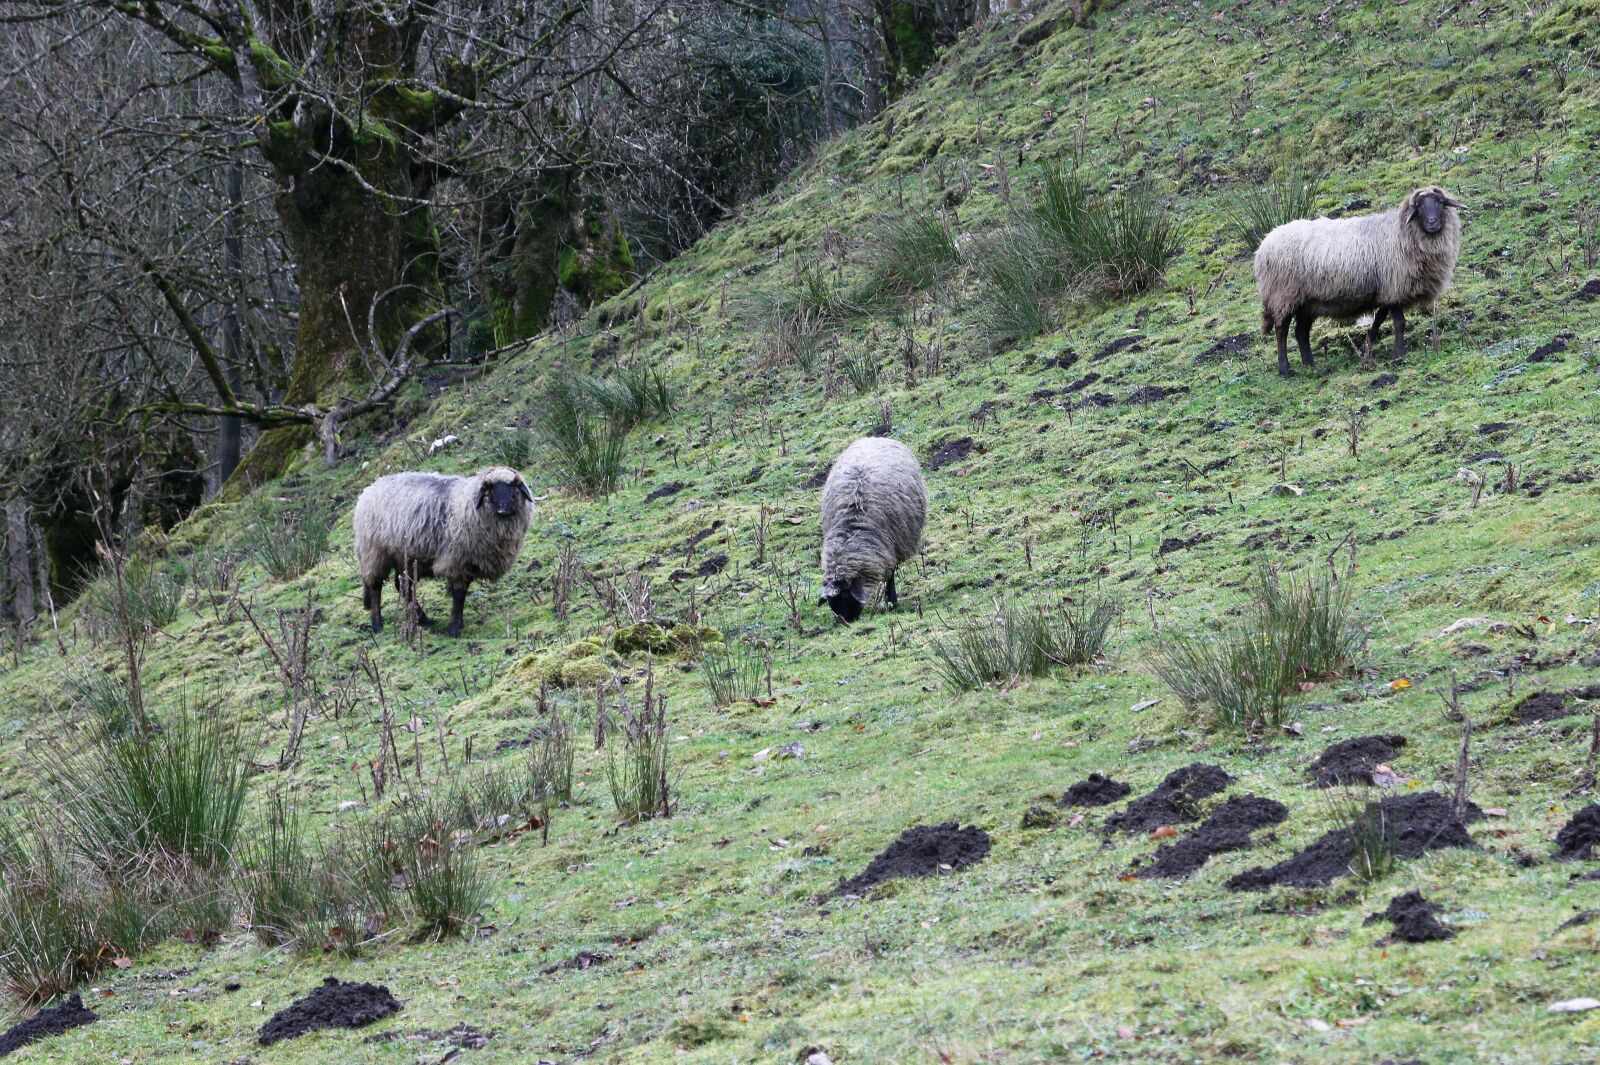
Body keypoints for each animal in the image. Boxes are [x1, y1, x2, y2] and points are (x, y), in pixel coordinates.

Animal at [354, 466, 533, 637]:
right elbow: (459, 593)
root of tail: (369, 489)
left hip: (405, 557)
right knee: (375, 586)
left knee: (403, 585)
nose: (504, 509)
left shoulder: (467, 563)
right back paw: (377, 624)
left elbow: (463, 591)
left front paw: (458, 623)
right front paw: (453, 628)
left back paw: (423, 620)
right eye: (490, 489)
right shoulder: (455, 561)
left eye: (514, 487)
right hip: (374, 552)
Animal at [819, 437, 927, 623]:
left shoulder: (890, 550)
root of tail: (875, 438)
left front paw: (891, 602)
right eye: (831, 601)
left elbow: (890, 577)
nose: (846, 622)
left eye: (846, 596)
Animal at [1255, 185, 1463, 376]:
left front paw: (1366, 346)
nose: (1432, 222)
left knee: (1301, 332)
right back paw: (1285, 369)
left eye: (1440, 202)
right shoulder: (1394, 286)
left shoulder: (1387, 290)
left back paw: (1311, 365)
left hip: (1307, 301)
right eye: (1419, 206)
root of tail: (1264, 244)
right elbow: (1399, 323)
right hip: (1284, 294)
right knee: (1281, 330)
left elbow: (1379, 318)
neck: (1401, 232)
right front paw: (1399, 353)